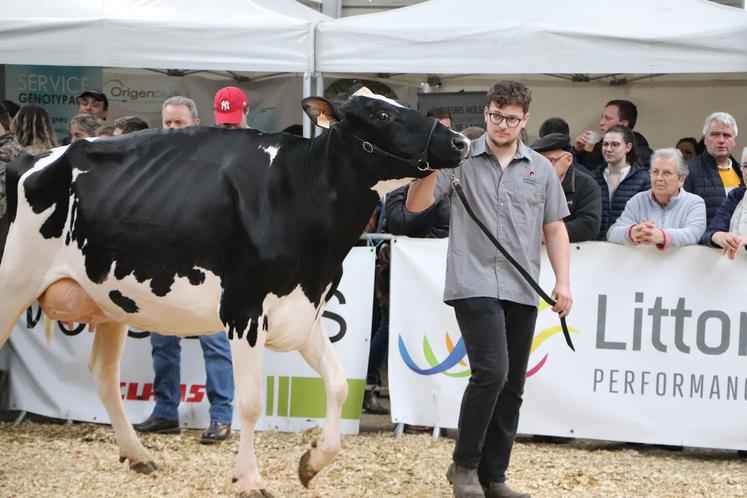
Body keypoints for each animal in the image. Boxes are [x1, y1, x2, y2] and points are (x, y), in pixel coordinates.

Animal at [0, 88, 468, 494]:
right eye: (382, 115)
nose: (461, 141)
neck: (298, 196)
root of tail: (29, 160)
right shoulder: (245, 311)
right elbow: (251, 403)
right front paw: (250, 479)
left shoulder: (304, 309)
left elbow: (337, 384)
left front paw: (312, 461)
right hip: (13, 283)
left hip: (108, 300)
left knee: (104, 374)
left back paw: (138, 455)